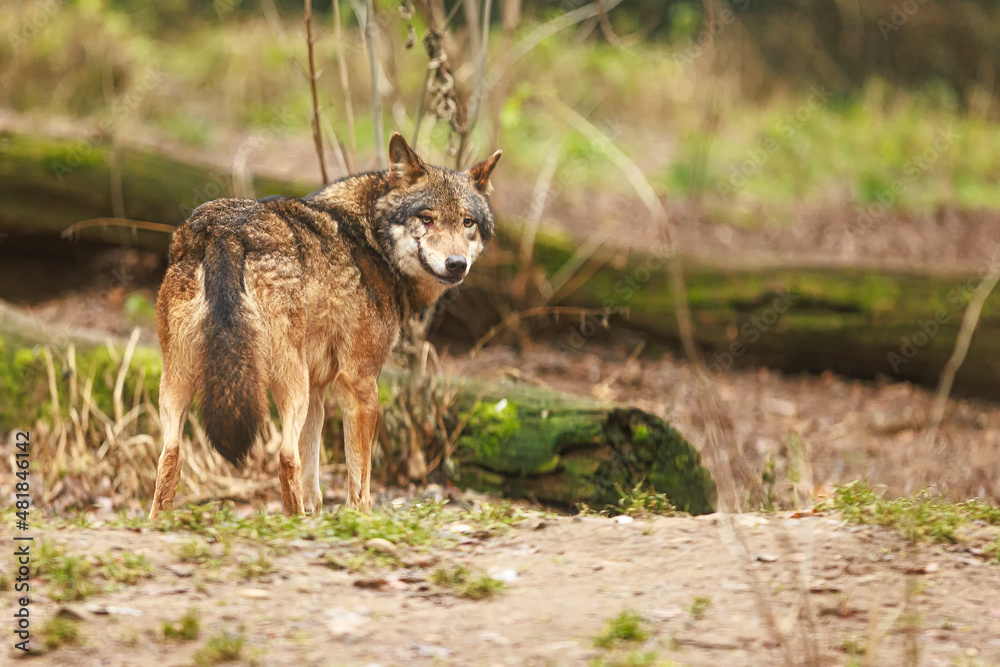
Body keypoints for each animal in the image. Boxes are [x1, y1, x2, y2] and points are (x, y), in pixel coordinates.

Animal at [148, 133, 501, 518]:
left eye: (467, 222)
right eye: (427, 218)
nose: (456, 264)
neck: (371, 240)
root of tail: (223, 230)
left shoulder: (319, 388)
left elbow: (313, 479)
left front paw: (317, 516)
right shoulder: (359, 382)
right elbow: (360, 479)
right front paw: (361, 519)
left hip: (182, 382)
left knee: (169, 455)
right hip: (290, 383)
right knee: (286, 455)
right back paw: (293, 522)